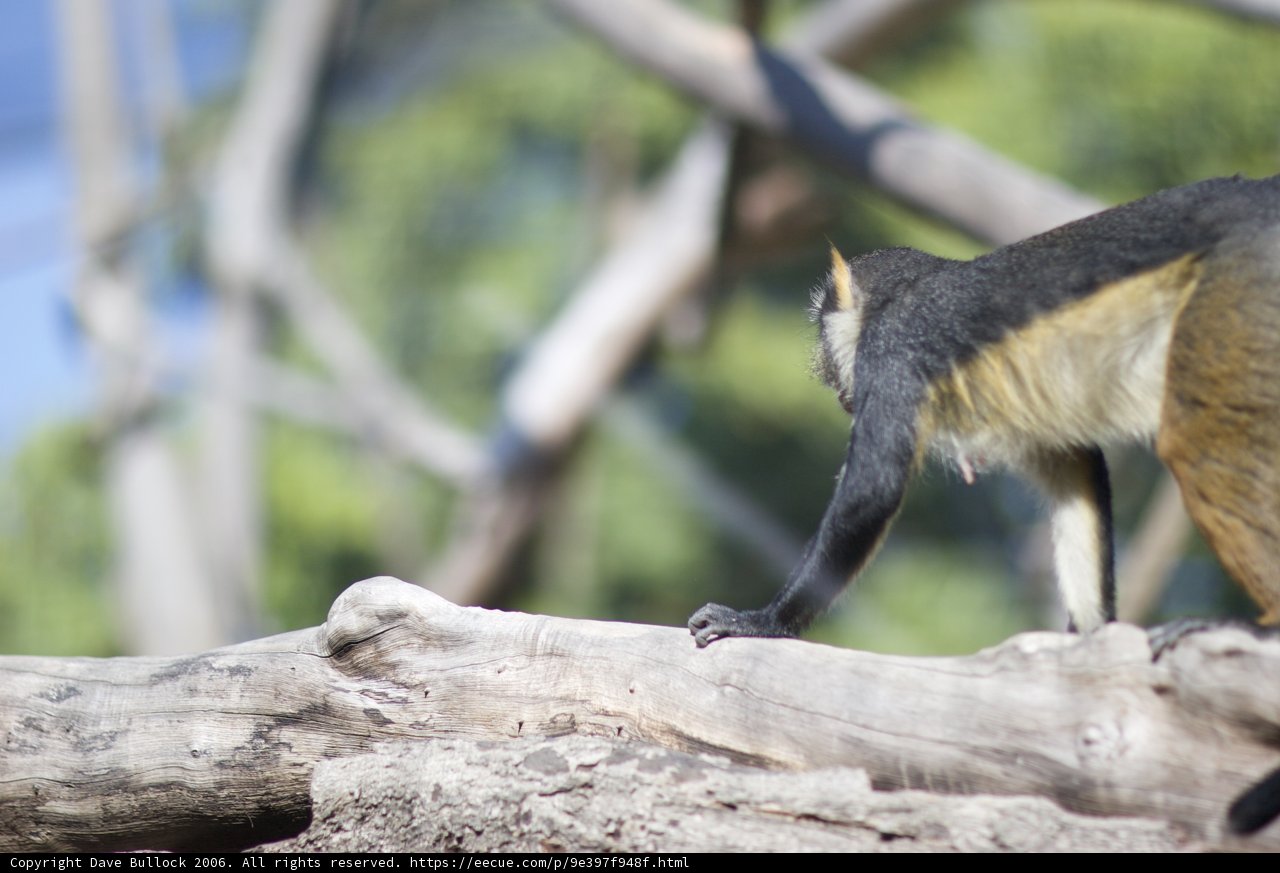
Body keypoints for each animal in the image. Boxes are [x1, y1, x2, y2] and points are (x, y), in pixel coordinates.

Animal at [688, 173, 1280, 649]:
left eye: (822, 329)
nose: (834, 384)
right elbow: (1075, 465)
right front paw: (1090, 636)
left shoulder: (894, 346)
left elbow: (871, 490)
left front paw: (760, 621)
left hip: (1236, 296)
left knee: (1200, 444)